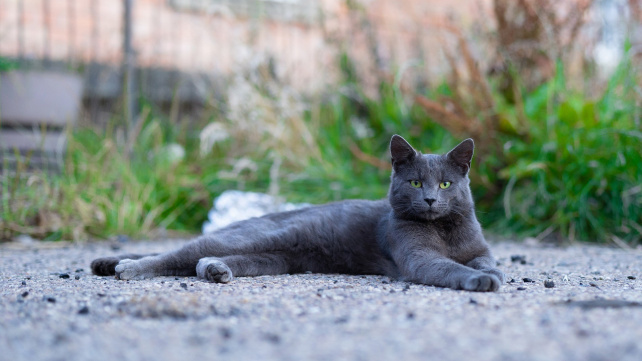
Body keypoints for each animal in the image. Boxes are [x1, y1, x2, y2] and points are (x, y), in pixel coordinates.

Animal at [92, 134, 504, 292]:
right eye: (417, 183)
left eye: (446, 185)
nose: (432, 200)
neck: (445, 231)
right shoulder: (417, 257)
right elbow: (447, 267)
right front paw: (480, 280)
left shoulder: (479, 246)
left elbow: (486, 258)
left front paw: (492, 272)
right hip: (261, 236)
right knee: (181, 252)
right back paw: (126, 267)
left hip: (276, 257)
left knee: (201, 259)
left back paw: (215, 271)